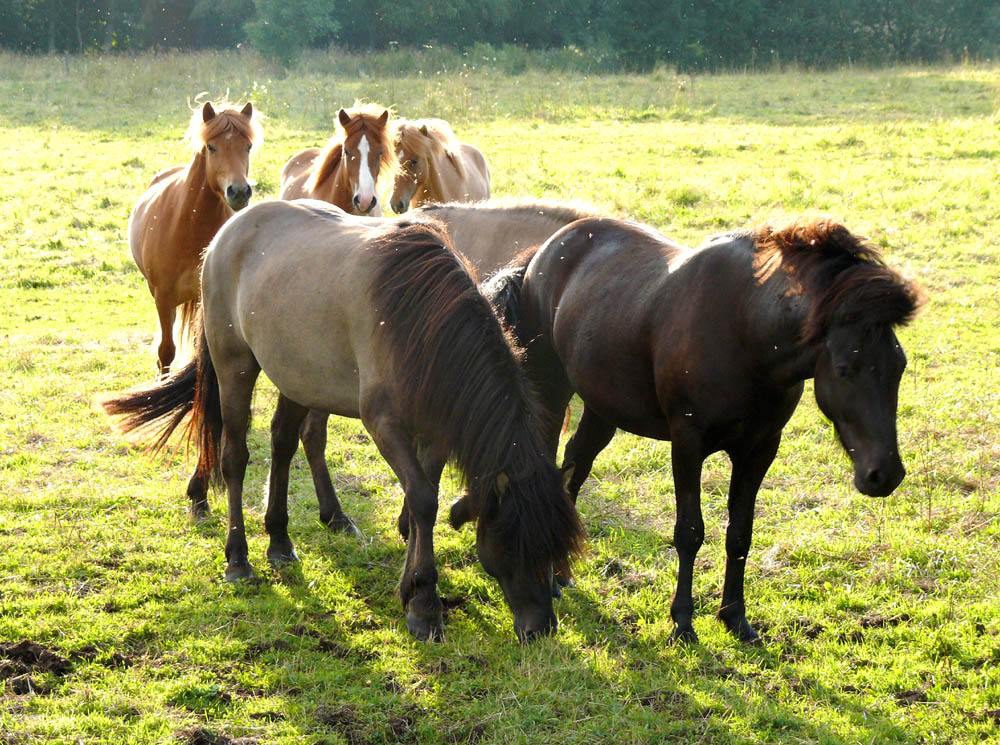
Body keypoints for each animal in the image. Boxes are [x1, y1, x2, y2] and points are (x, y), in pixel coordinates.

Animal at [99, 201, 584, 644]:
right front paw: (425, 603)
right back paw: (238, 558)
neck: (421, 323)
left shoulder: (433, 432)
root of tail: (227, 232)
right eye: (513, 543)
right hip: (234, 367)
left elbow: (421, 499)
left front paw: (410, 588)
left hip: (297, 377)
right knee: (234, 456)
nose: (541, 628)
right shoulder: (384, 424)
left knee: (283, 443)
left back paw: (280, 540)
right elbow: (422, 500)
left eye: (556, 550)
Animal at [129, 100, 262, 372]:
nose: (239, 192)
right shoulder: (163, 298)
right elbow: (166, 352)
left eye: (248, 146)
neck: (189, 224)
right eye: (211, 147)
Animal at [472, 215, 924, 644]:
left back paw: (562, 573)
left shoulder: (760, 448)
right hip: (552, 391)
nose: (885, 474)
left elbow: (740, 533)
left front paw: (735, 618)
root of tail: (543, 252)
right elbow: (689, 532)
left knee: (575, 468)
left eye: (900, 366)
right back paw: (549, 578)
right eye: (845, 369)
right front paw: (683, 623)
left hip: (602, 407)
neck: (746, 332)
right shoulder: (687, 445)